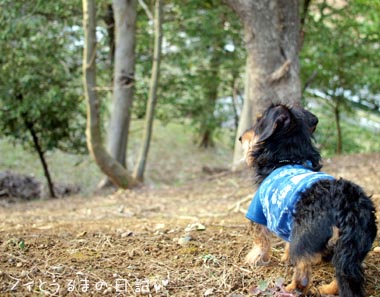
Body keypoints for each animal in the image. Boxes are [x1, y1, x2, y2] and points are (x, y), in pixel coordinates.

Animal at [240, 103, 378, 294]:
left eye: (259, 121)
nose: (240, 138)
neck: (289, 158)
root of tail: (348, 205)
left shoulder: (258, 210)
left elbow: (261, 240)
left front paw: (255, 258)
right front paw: (285, 257)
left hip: (304, 238)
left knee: (303, 277)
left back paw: (290, 289)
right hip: (351, 247)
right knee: (344, 272)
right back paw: (328, 289)